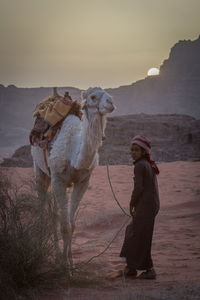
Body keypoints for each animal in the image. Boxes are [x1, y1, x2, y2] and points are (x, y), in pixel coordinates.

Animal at [31, 87, 115, 272]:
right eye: (93, 97)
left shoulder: (83, 181)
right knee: (42, 210)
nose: (111, 102)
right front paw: (65, 267)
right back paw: (39, 250)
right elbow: (65, 225)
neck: (74, 155)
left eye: (108, 94)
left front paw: (70, 261)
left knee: (54, 213)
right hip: (40, 170)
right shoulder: (58, 179)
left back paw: (56, 254)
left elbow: (72, 224)